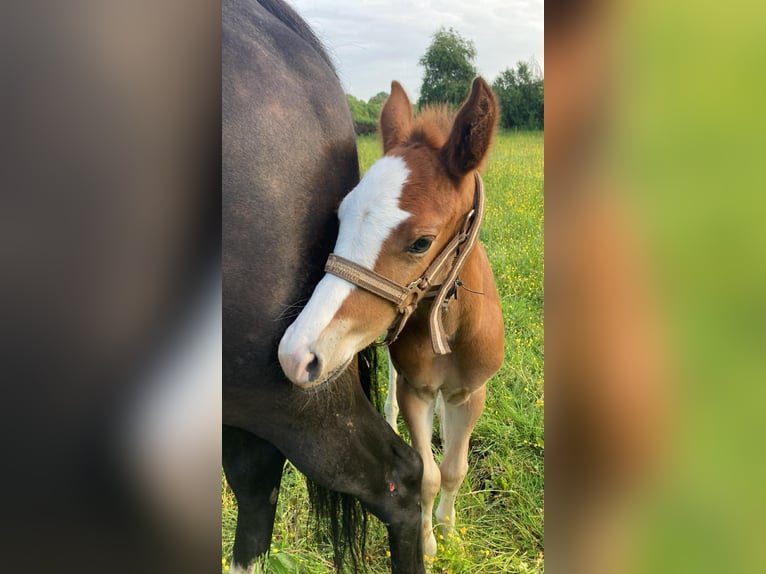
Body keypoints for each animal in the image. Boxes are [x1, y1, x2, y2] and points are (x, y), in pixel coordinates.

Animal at [279, 78, 506, 556]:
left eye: (422, 242)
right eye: (340, 217)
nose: (295, 354)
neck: (449, 329)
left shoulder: (472, 393)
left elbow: (454, 469)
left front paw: (449, 533)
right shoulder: (417, 391)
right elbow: (429, 475)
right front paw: (429, 545)